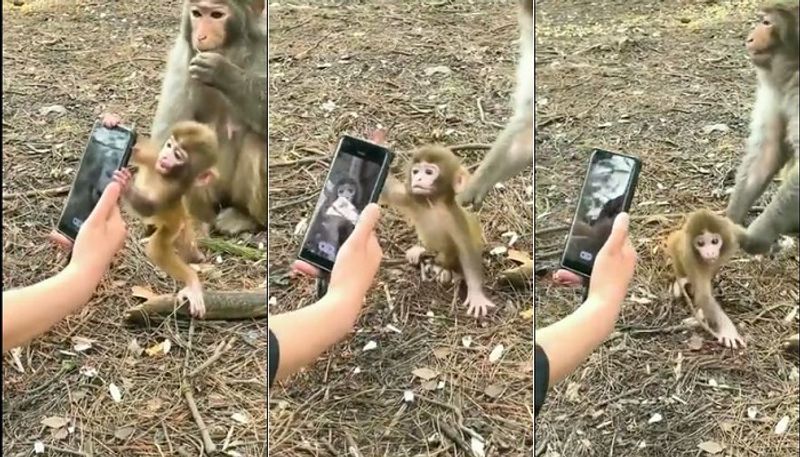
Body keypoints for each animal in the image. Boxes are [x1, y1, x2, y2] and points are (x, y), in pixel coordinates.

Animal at [106, 114, 220, 318]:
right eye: (169, 146)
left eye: (178, 156)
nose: (166, 156)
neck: (166, 175)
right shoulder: (154, 158)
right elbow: (137, 153)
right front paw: (111, 121)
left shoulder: (172, 190)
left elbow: (149, 208)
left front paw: (126, 185)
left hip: (173, 223)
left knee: (158, 248)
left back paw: (192, 279)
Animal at [152, 0, 270, 235]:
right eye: (197, 14)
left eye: (216, 15)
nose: (201, 36)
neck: (231, 53)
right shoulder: (182, 61)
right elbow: (169, 129)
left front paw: (223, 73)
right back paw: (195, 224)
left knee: (257, 140)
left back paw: (245, 216)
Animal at [382, 145, 494, 318]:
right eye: (416, 172)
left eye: (429, 172)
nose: (418, 179)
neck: (433, 205)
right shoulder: (410, 198)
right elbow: (387, 189)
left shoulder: (455, 220)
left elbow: (467, 251)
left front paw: (476, 295)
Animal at [664, 208, 748, 348]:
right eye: (701, 243)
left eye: (714, 241)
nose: (709, 252)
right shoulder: (691, 259)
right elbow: (704, 297)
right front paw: (728, 330)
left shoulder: (732, 231)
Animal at [728, 2, 800, 253]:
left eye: (767, 22)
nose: (749, 38)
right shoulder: (777, 88)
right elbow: (767, 150)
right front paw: (728, 219)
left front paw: (756, 235)